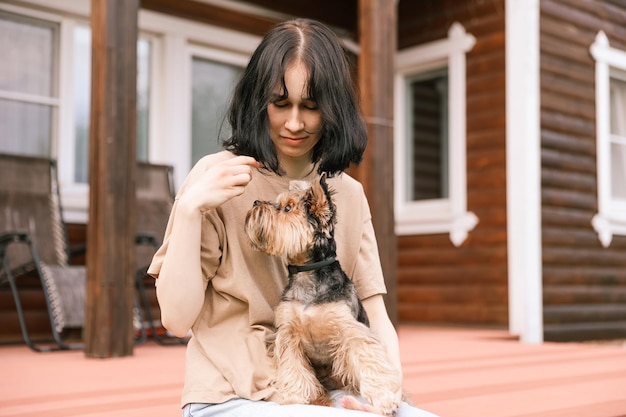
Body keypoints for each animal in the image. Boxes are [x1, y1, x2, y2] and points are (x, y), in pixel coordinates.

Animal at [244, 175, 400, 412]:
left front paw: (383, 397)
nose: (254, 202)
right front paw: (296, 398)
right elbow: (293, 367)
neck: (307, 273)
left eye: (287, 208)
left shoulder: (351, 330)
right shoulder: (289, 334)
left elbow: (368, 359)